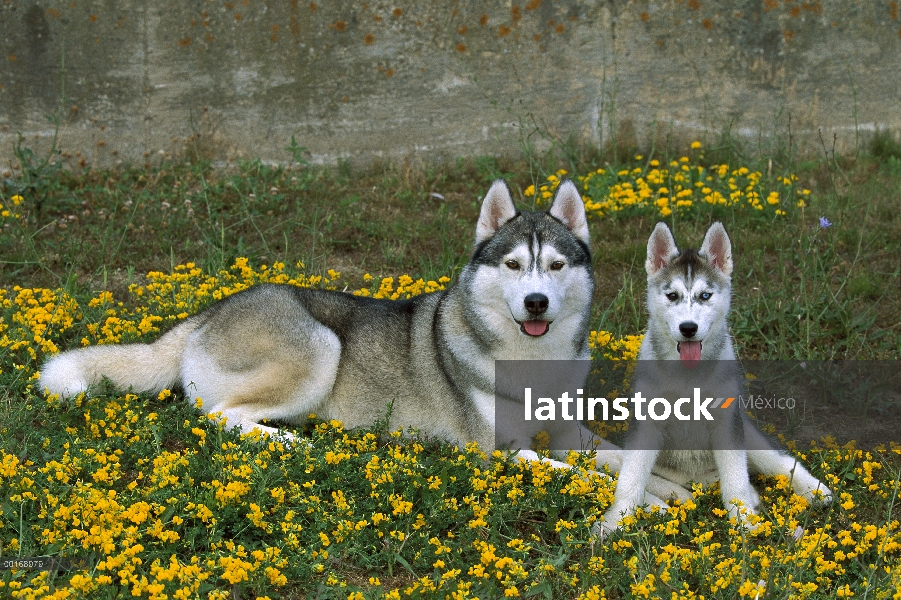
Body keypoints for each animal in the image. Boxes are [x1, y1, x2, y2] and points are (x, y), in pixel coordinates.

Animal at [596, 223, 832, 532]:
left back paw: (812, 489)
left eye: (705, 296)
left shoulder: (727, 423)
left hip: (748, 433)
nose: (688, 328)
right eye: (672, 296)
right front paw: (618, 518)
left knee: (779, 462)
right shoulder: (646, 422)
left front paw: (743, 518)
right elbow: (631, 476)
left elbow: (736, 477)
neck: (688, 376)